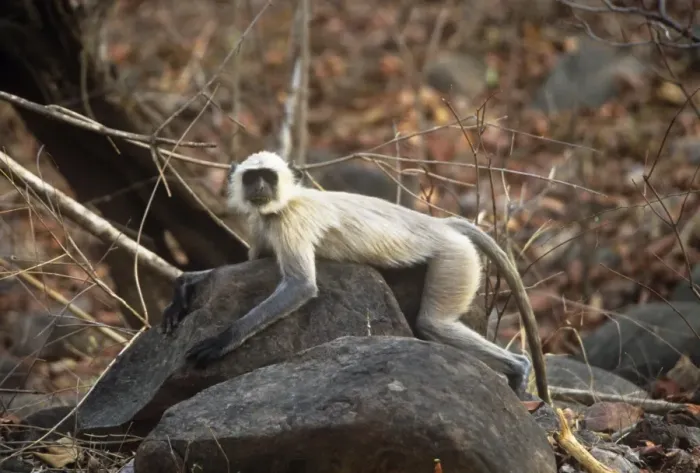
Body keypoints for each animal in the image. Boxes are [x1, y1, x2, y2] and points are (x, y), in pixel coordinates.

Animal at [163, 151, 549, 402]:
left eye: (268, 177)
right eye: (251, 177)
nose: (260, 188)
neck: (286, 201)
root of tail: (440, 223)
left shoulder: (289, 221)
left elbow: (300, 286)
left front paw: (220, 341)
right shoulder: (262, 222)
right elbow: (254, 259)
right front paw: (187, 284)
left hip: (455, 257)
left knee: (433, 324)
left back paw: (518, 369)